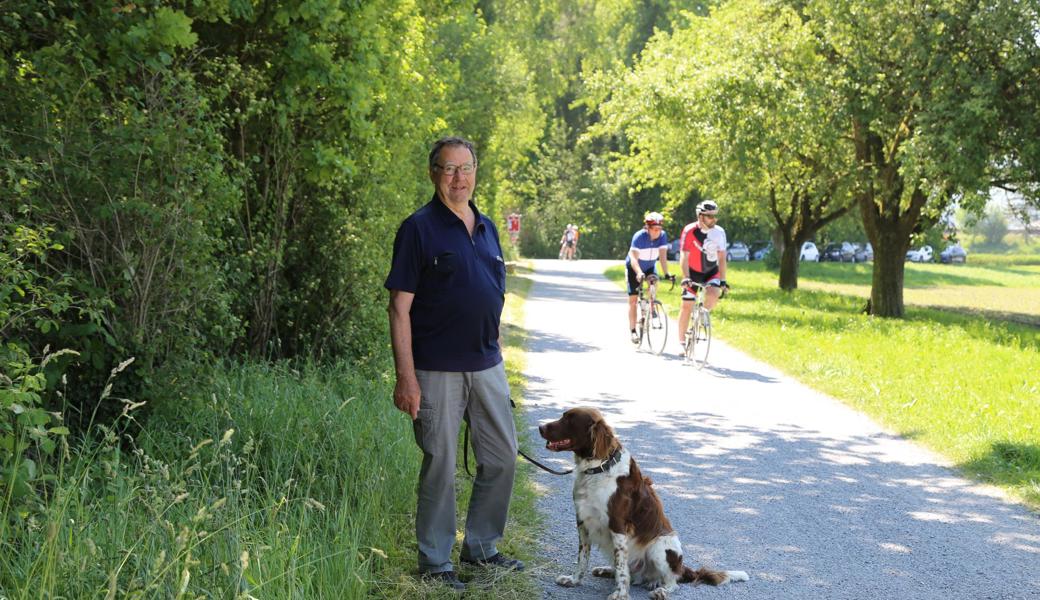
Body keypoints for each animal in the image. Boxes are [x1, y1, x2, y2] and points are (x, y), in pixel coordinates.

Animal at [536, 405, 748, 594]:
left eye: (570, 420)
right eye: (564, 416)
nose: (540, 427)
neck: (598, 468)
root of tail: (682, 567)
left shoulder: (618, 525)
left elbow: (622, 569)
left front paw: (620, 594)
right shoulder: (582, 521)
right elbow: (583, 558)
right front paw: (573, 580)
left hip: (660, 548)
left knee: (672, 581)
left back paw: (659, 589)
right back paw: (607, 571)